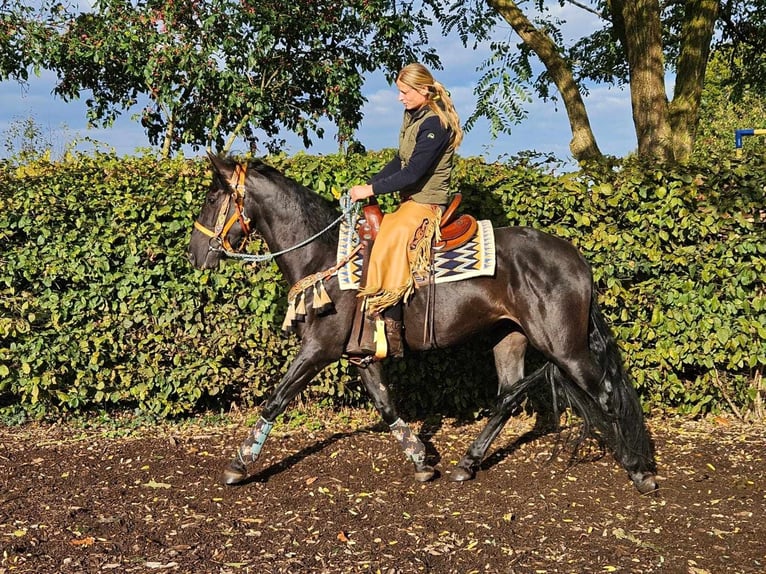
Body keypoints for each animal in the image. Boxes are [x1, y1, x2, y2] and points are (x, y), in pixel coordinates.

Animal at [188, 153, 660, 496]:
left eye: (211, 199)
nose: (194, 254)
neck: (325, 257)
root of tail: (577, 257)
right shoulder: (362, 358)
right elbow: (387, 406)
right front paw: (419, 460)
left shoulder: (318, 349)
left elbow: (276, 399)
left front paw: (239, 464)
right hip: (510, 337)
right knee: (508, 398)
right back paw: (467, 464)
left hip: (565, 347)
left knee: (605, 393)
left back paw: (639, 470)